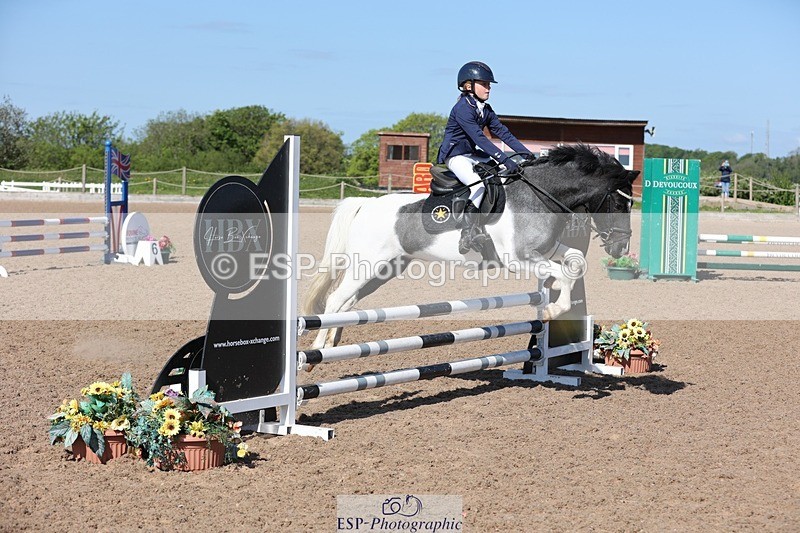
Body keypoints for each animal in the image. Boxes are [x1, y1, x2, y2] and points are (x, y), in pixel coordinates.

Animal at [303, 143, 639, 350]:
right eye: (619, 202)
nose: (621, 248)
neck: (539, 195)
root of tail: (366, 204)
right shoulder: (519, 259)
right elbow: (566, 276)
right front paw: (553, 307)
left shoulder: (546, 251)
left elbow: (575, 262)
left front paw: (553, 293)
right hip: (367, 264)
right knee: (336, 299)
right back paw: (317, 350)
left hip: (386, 268)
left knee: (347, 302)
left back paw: (332, 343)